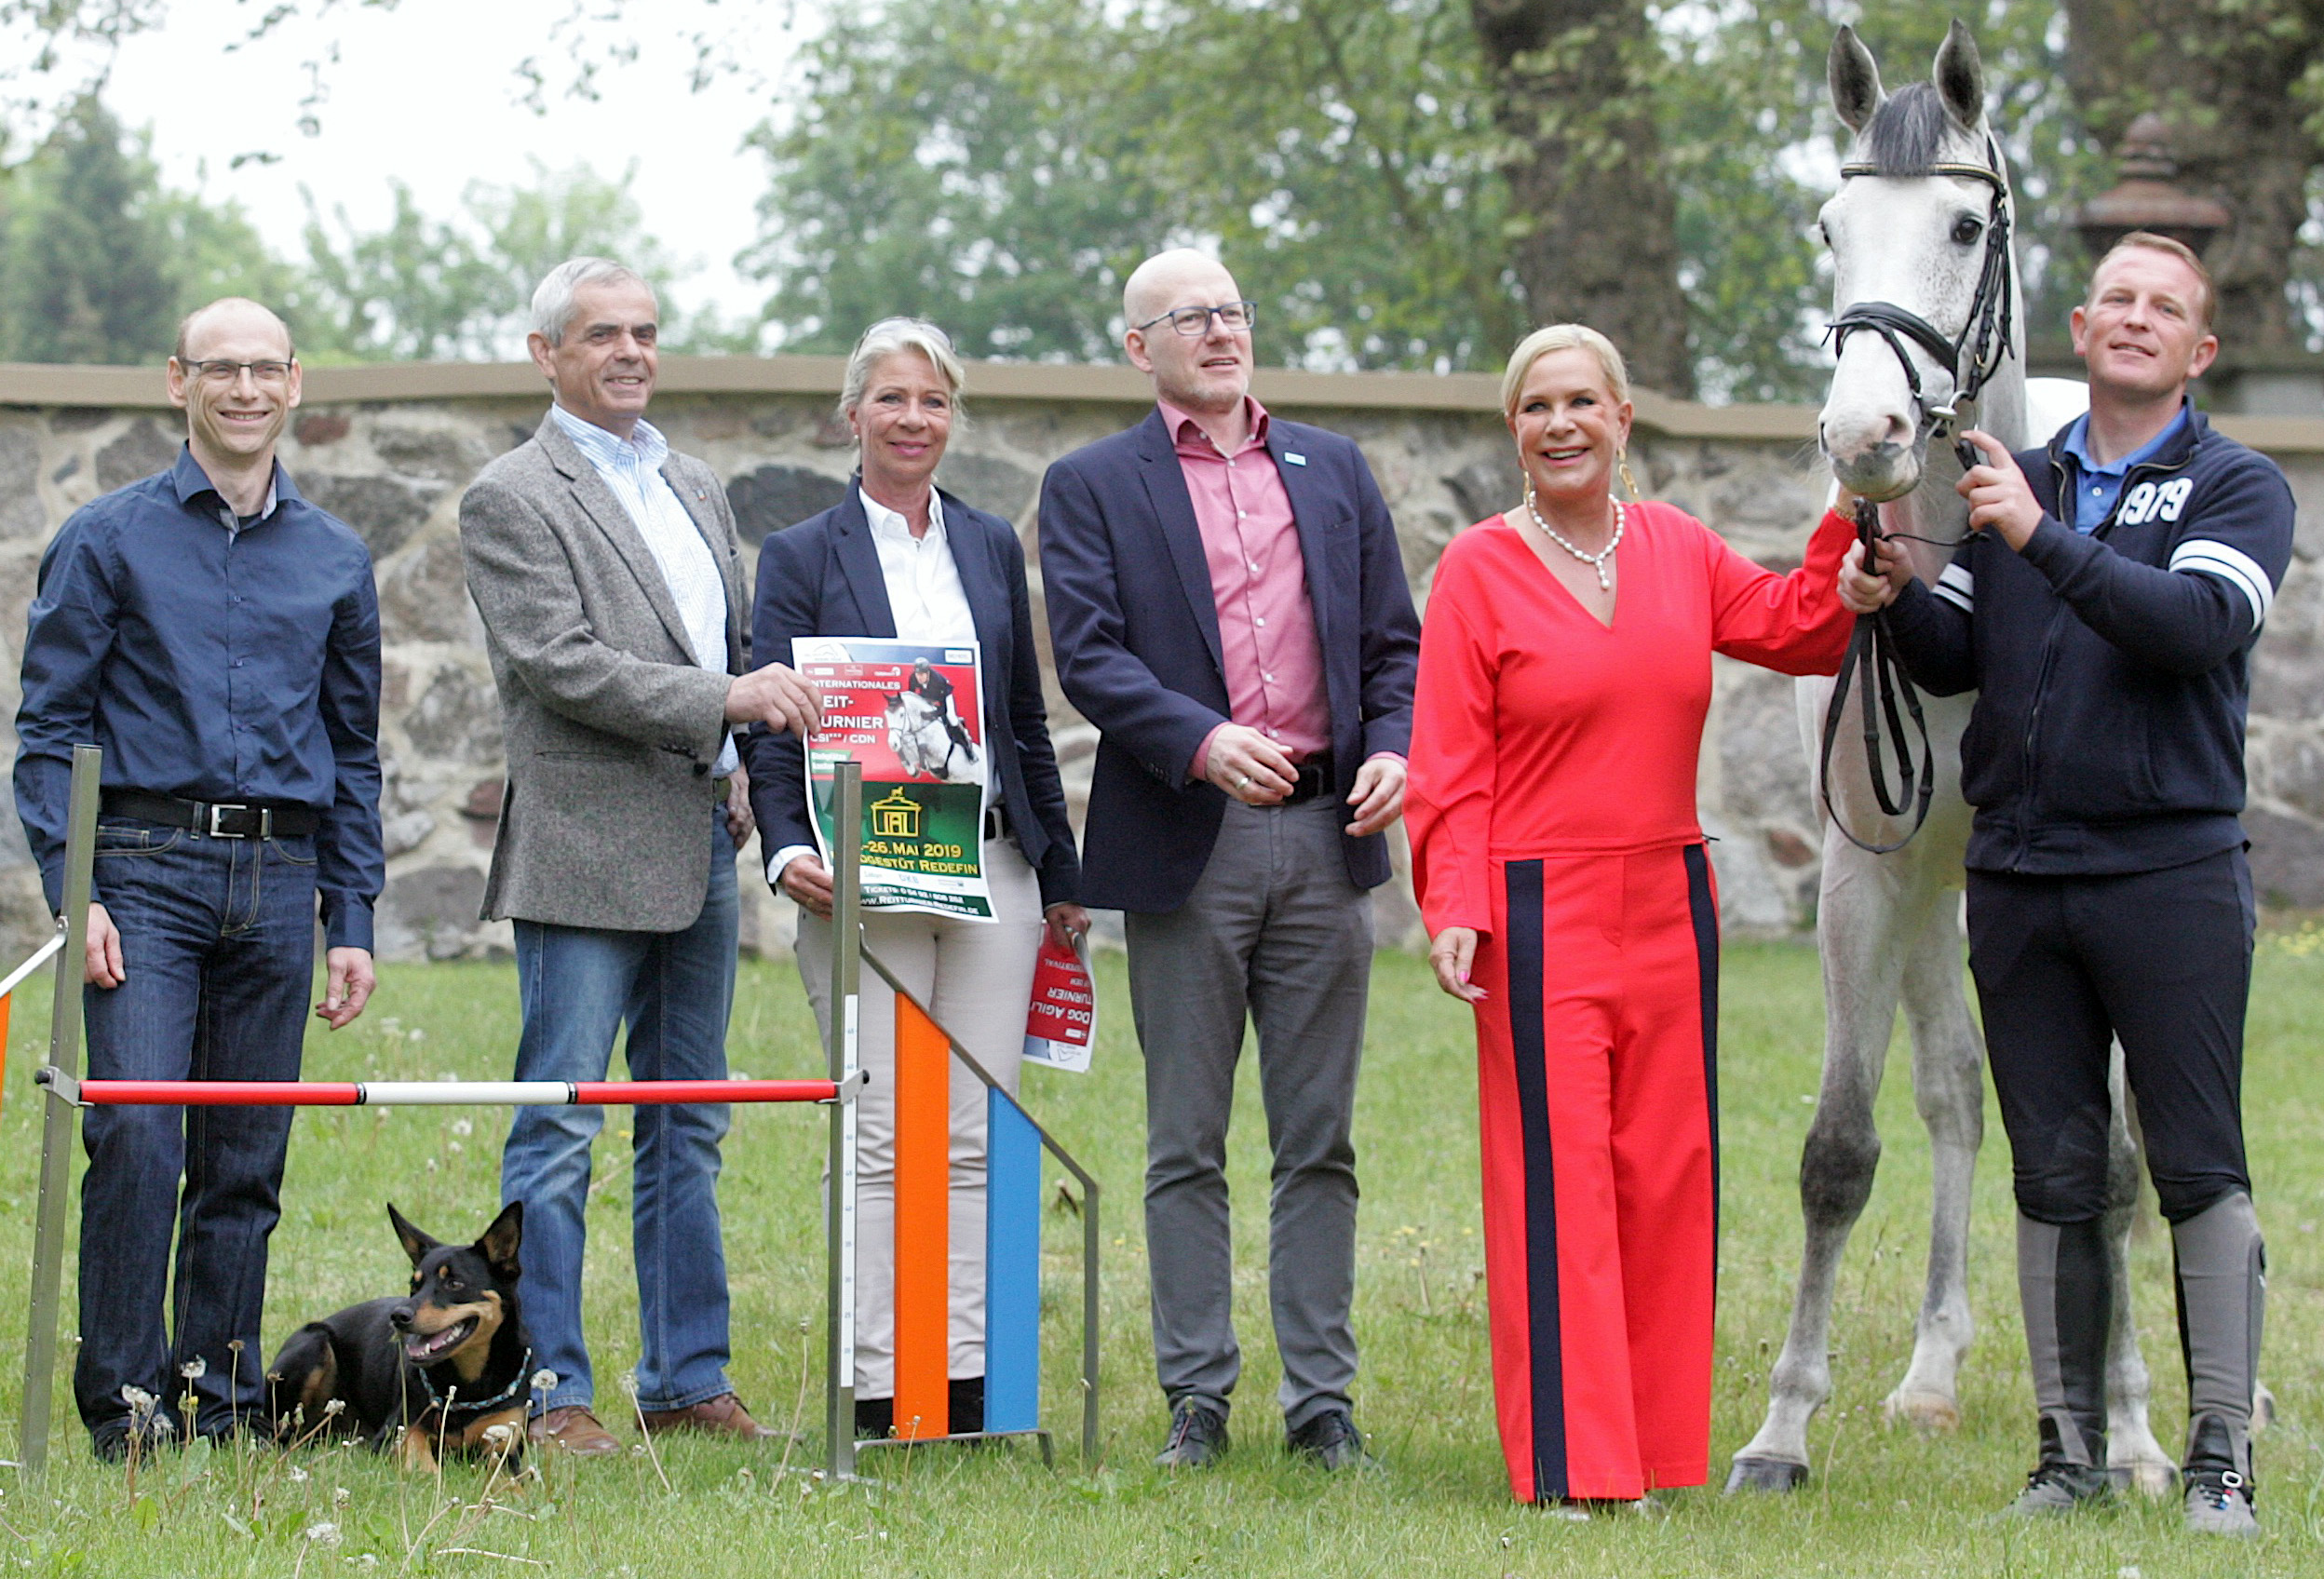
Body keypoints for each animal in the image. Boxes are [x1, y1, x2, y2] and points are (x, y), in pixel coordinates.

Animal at [265, 1199, 532, 1478]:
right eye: (415, 1285)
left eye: (455, 1283)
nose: (398, 1316)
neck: (468, 1383)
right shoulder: (400, 1430)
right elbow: (421, 1460)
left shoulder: (504, 1444)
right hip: (315, 1345)